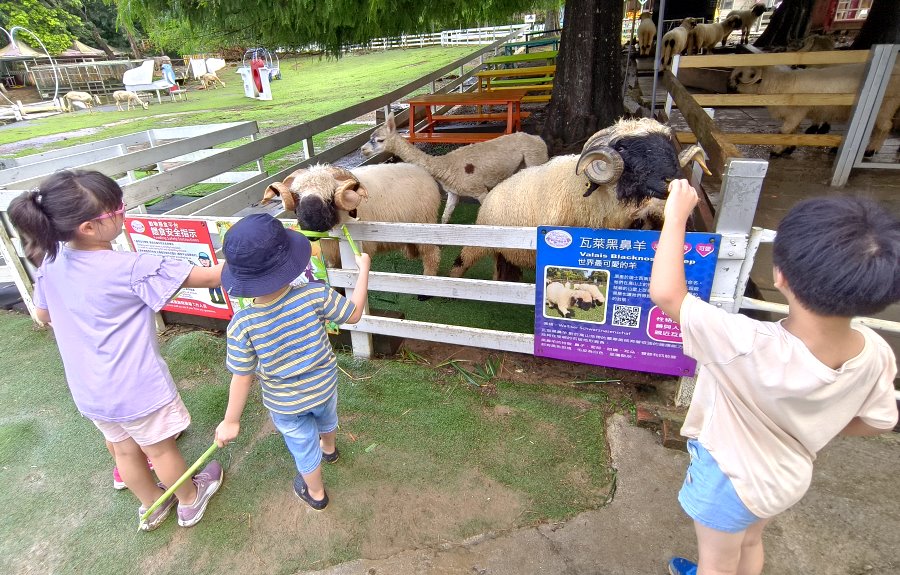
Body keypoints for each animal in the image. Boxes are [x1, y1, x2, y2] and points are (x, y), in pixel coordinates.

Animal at [260, 164, 442, 294]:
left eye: (331, 196)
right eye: (297, 197)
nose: (311, 228)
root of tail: (425, 173)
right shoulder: (332, 255)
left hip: (425, 224)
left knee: (431, 254)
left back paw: (427, 283)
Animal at [358, 112, 548, 223]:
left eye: (379, 140)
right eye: (369, 137)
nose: (363, 149)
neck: (445, 166)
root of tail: (539, 139)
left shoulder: (479, 190)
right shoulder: (453, 192)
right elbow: (445, 216)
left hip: (535, 159)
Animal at [450, 117, 712, 282]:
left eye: (668, 142)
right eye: (622, 147)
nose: (673, 179)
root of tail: (493, 193)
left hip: (505, 250)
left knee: (504, 266)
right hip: (481, 239)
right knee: (462, 260)